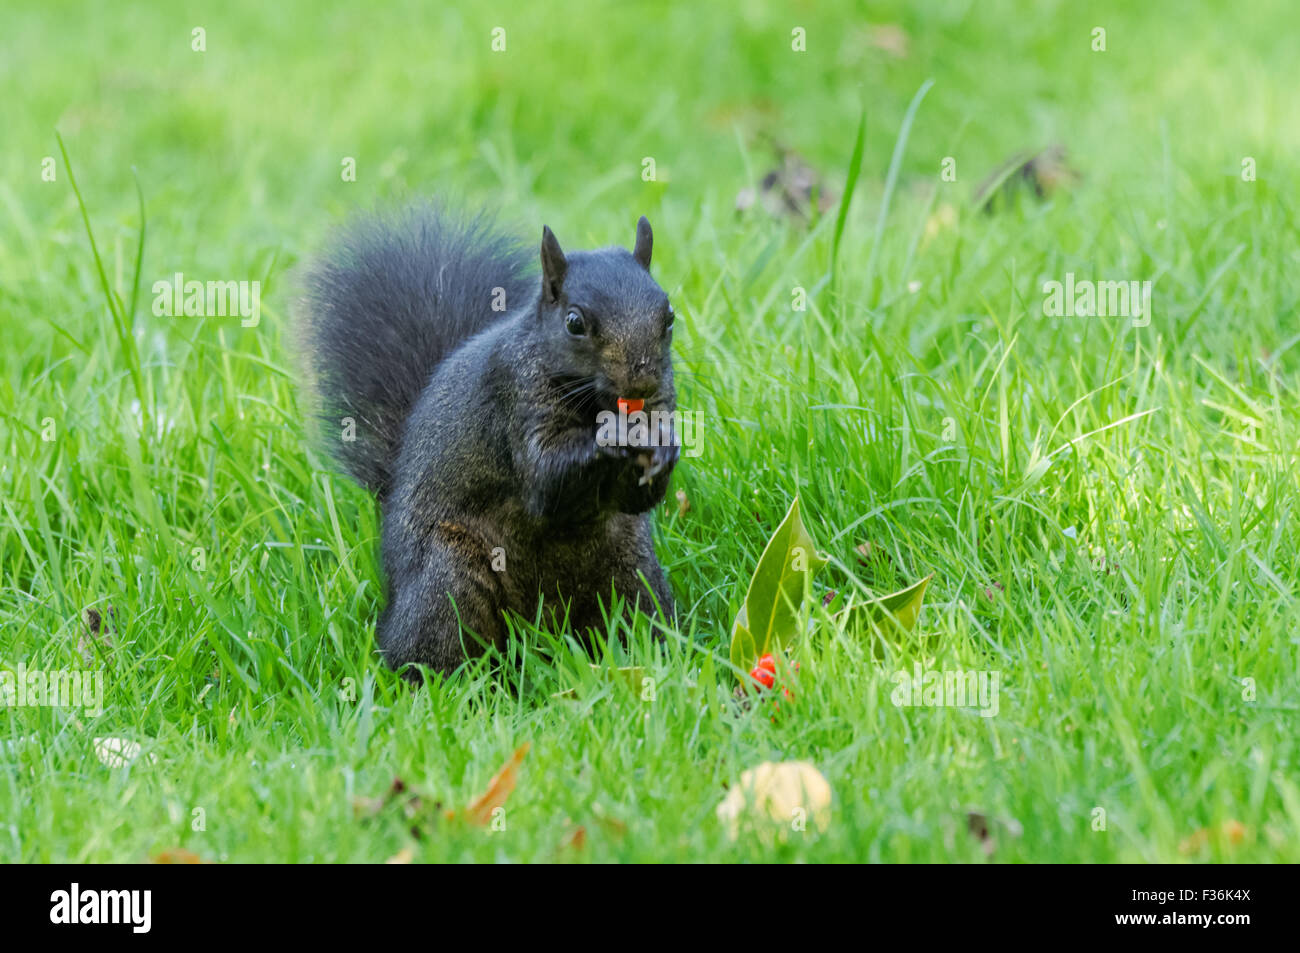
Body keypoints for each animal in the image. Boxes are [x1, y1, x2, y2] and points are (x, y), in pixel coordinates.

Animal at [296, 204, 681, 670]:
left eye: (669, 317)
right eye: (574, 322)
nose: (641, 382)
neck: (593, 401)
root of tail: (543, 629)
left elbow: (636, 498)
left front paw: (665, 445)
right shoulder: (514, 395)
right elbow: (546, 479)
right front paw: (617, 434)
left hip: (633, 574)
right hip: (449, 578)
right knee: (430, 648)